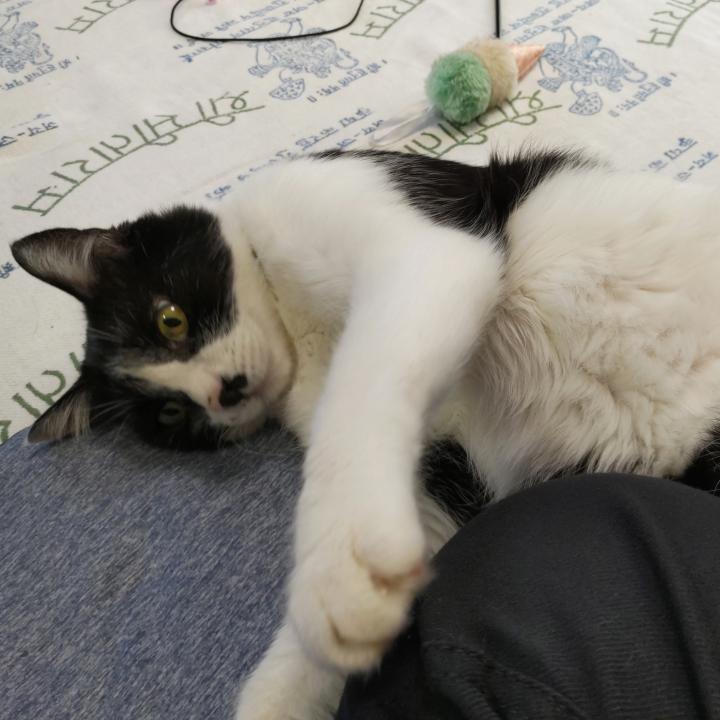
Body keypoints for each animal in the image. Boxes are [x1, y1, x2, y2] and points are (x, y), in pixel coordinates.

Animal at [12, 148, 720, 720]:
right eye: (168, 415)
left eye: (171, 319)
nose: (223, 391)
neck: (298, 333)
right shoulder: (443, 481)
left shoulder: (419, 245)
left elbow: (360, 393)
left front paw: (336, 563)